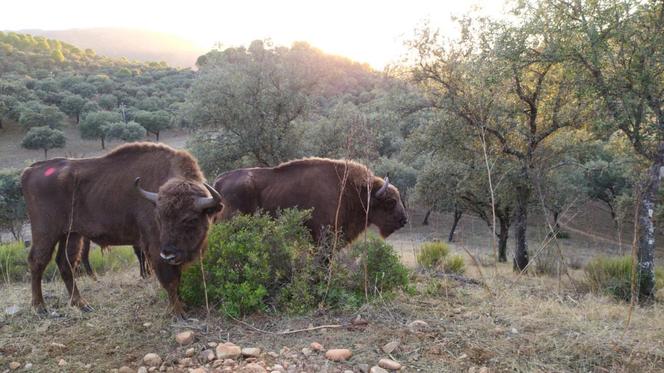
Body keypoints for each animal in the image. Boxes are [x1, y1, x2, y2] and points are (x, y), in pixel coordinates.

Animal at [22, 141, 223, 316]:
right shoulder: (155, 248)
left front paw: (182, 306)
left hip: (71, 234)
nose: (169, 254)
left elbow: (177, 278)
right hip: (46, 232)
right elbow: (170, 280)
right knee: (37, 261)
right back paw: (40, 307)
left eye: (190, 219)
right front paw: (178, 312)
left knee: (65, 263)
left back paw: (82, 305)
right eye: (159, 217)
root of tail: (31, 169)